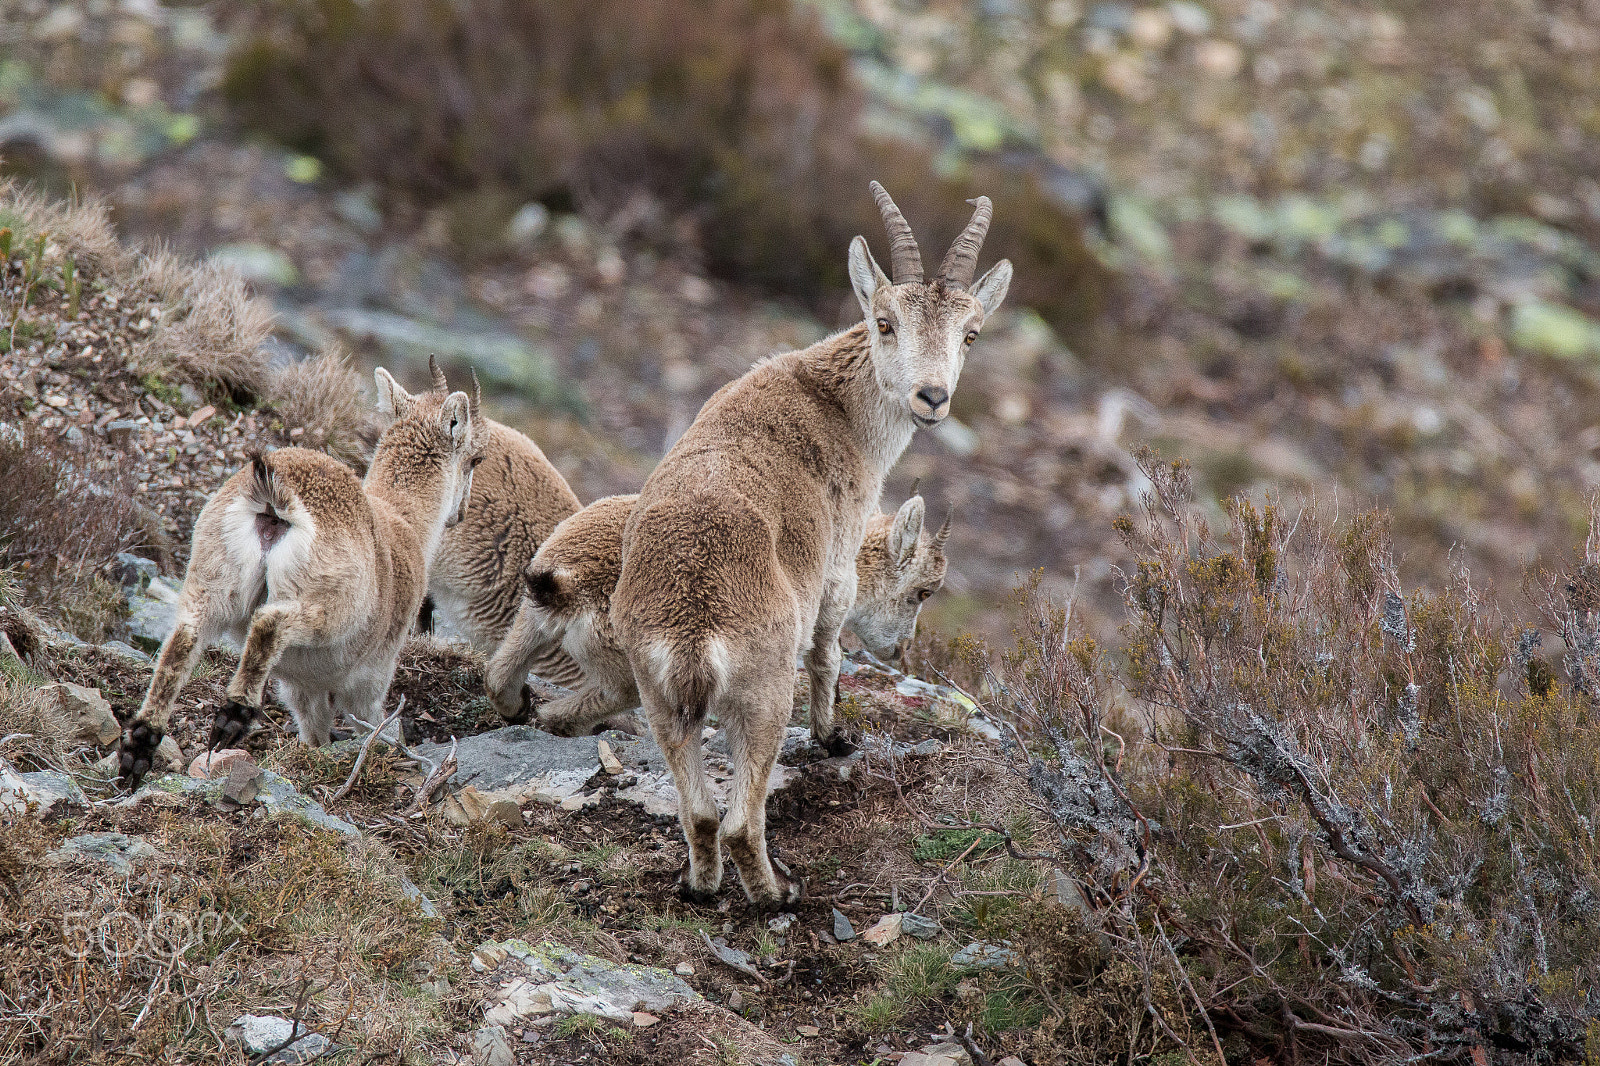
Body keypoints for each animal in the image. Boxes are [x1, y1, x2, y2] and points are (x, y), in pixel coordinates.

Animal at [117, 358, 483, 787]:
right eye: (475, 458)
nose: (460, 513)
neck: (404, 521)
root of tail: (275, 497)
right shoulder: (370, 678)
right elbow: (375, 726)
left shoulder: (299, 686)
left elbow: (313, 730)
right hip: (328, 606)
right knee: (269, 620)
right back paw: (233, 717)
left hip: (211, 580)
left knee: (184, 639)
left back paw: (140, 746)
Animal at [490, 492, 949, 738]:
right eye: (922, 592)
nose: (902, 649)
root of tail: (568, 581)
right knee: (620, 692)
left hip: (531, 618)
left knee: (499, 671)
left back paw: (521, 708)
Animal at [611, 182, 1010, 904]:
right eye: (885, 322)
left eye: (971, 332)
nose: (931, 397)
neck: (835, 404)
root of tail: (691, 632)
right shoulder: (837, 567)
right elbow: (830, 652)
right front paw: (833, 735)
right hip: (765, 693)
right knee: (741, 821)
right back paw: (776, 895)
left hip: (657, 698)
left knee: (700, 813)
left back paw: (700, 887)